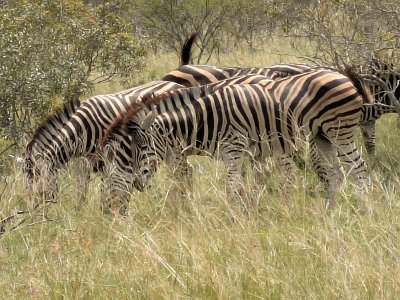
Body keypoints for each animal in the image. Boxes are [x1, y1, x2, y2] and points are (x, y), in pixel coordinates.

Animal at [122, 67, 372, 209]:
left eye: (142, 149)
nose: (136, 184)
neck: (206, 119)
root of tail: (342, 75)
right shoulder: (244, 153)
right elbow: (244, 186)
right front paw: (247, 211)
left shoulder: (234, 149)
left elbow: (232, 188)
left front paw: (232, 218)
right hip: (322, 135)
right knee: (335, 172)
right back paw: (330, 210)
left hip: (339, 130)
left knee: (358, 168)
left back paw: (363, 207)